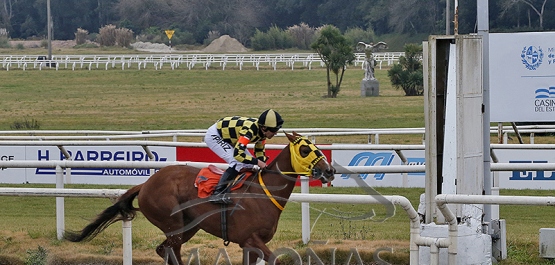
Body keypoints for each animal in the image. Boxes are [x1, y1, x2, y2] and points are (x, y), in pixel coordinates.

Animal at [64, 131, 334, 262]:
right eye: (305, 149)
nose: (330, 170)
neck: (262, 193)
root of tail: (146, 183)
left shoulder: (250, 245)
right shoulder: (250, 239)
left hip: (189, 226)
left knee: (164, 250)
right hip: (172, 224)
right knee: (170, 251)